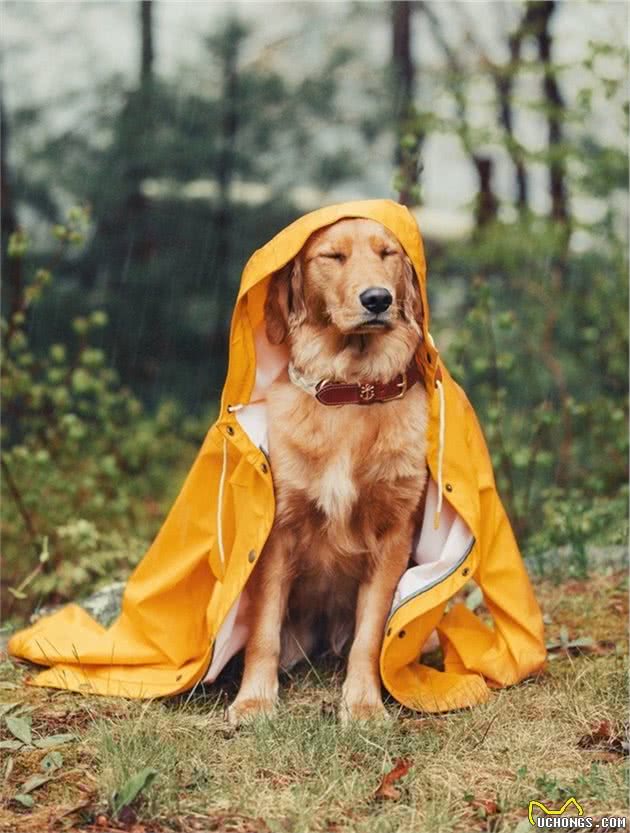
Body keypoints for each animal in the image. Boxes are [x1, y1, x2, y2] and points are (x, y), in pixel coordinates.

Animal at [230, 218, 432, 724]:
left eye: (387, 253)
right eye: (332, 257)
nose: (378, 299)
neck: (351, 392)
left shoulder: (394, 536)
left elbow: (370, 636)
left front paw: (362, 704)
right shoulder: (278, 532)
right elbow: (263, 630)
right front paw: (255, 699)